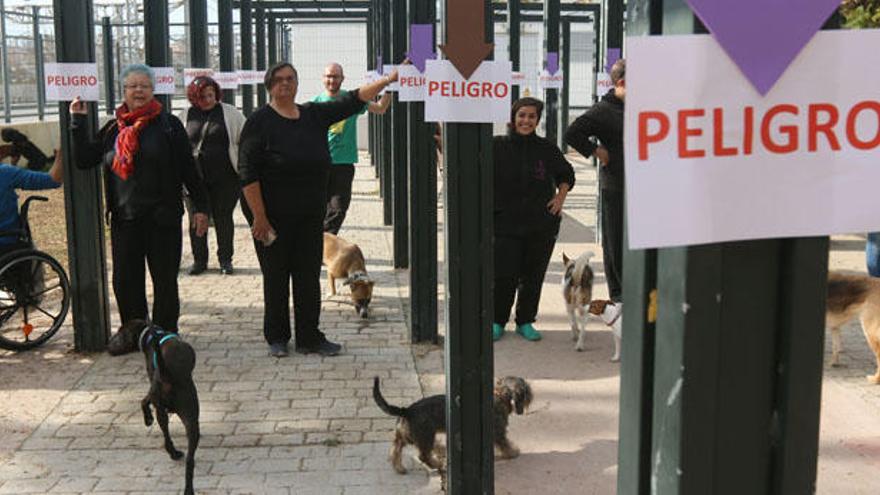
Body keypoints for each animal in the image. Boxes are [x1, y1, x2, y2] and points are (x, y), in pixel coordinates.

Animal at [107, 322, 200, 495]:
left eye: (120, 333)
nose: (107, 345)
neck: (150, 335)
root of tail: (168, 374)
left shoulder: (151, 385)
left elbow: (143, 401)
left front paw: (147, 419)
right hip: (190, 418)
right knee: (190, 460)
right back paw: (187, 486)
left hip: (160, 400)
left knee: (166, 434)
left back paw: (173, 452)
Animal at [370, 376, 532, 476]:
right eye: (525, 389)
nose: (531, 396)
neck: (499, 395)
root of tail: (407, 410)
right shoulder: (498, 432)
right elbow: (505, 444)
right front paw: (513, 452)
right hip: (426, 437)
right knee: (423, 456)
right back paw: (437, 463)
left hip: (405, 437)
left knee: (395, 450)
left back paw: (400, 468)